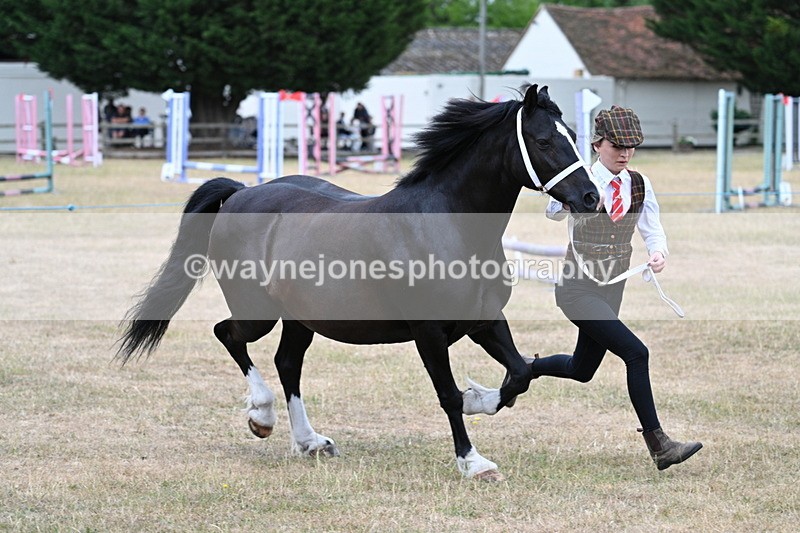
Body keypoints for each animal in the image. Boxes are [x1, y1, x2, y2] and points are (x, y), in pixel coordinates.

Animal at [117, 84, 601, 481]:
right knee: (228, 334)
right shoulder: (429, 332)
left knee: (287, 362)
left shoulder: (483, 320)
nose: (591, 197)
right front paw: (473, 461)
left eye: (573, 135)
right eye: (543, 141)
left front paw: (477, 399)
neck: (446, 224)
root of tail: (241, 192)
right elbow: (447, 394)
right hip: (257, 312)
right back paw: (262, 417)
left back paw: (310, 441)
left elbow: (519, 373)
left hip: (300, 318)